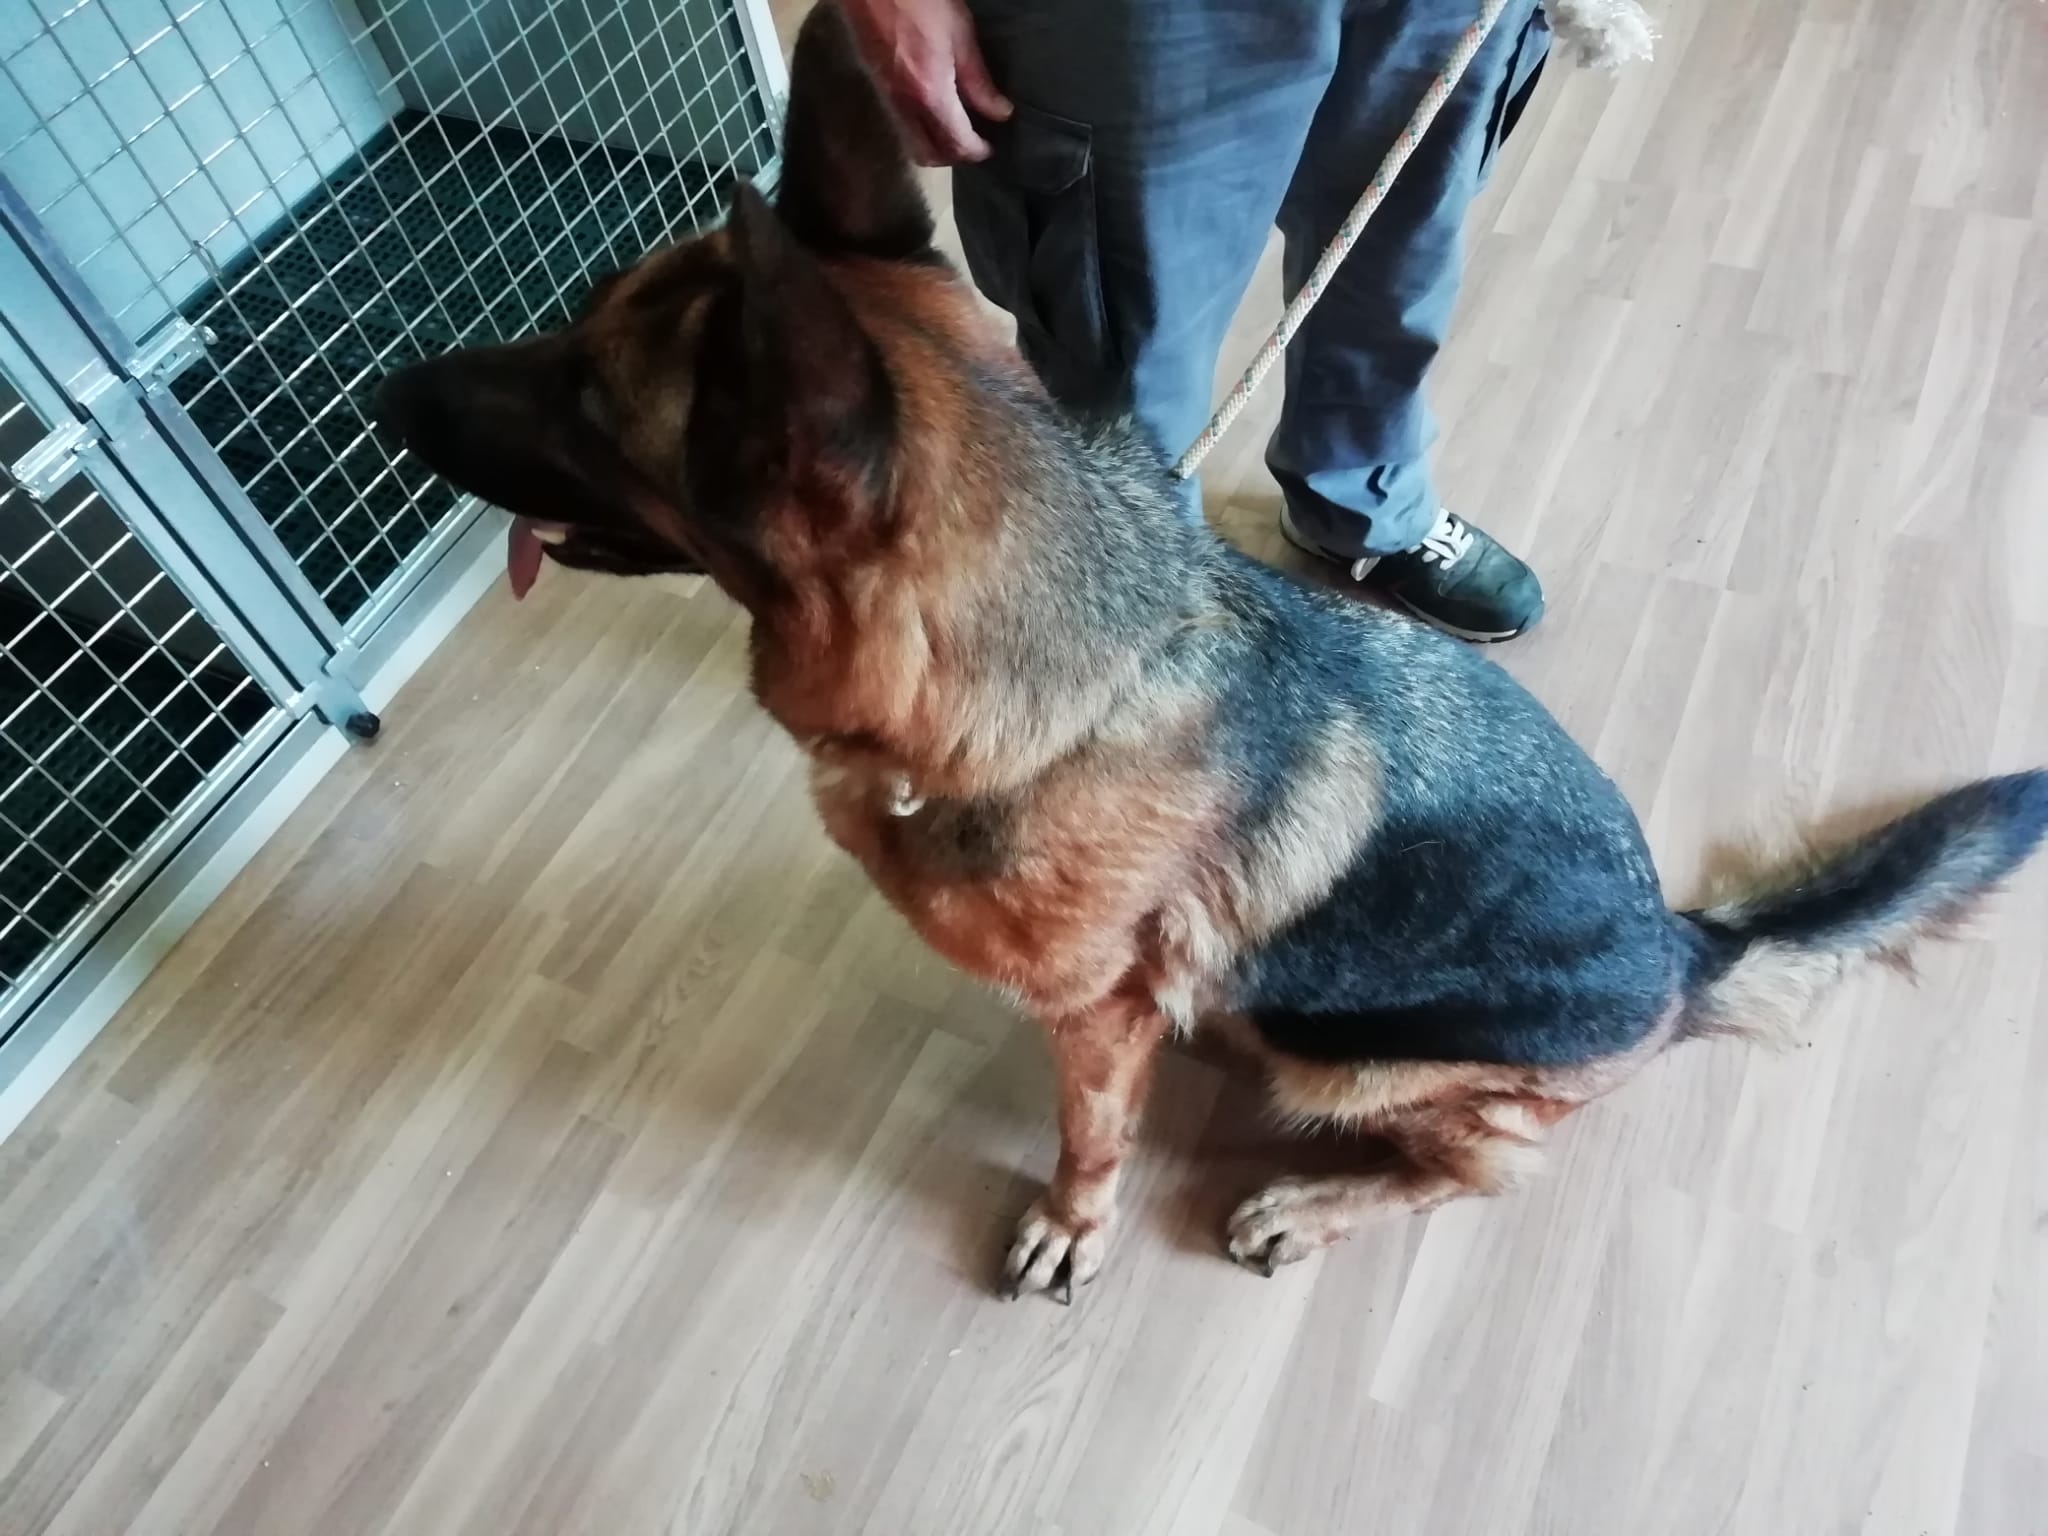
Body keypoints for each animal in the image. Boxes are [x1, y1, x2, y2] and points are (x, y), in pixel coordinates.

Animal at [376, 1, 2048, 1302]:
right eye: (576, 338)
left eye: (594, 406)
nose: (379, 393)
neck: (1054, 694)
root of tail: (1691, 946)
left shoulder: (1091, 1020)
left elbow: (1089, 1133)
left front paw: (1073, 1223)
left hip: (1368, 1067)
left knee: (1475, 1171)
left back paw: (1314, 1199)